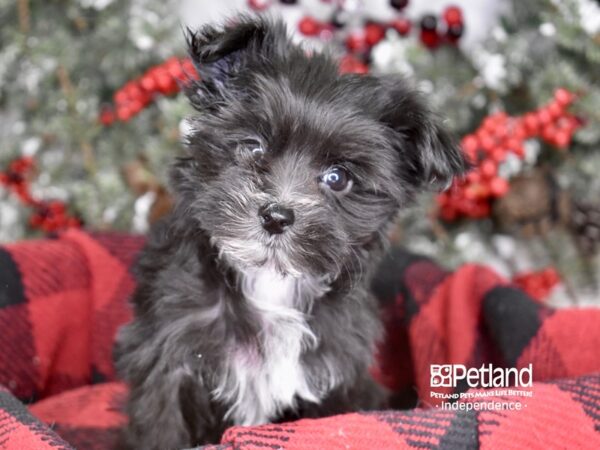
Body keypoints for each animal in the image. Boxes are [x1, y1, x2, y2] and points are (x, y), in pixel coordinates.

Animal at [115, 15, 466, 448]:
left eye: (338, 177)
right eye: (253, 147)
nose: (276, 216)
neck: (269, 281)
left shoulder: (340, 376)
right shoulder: (167, 360)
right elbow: (159, 429)